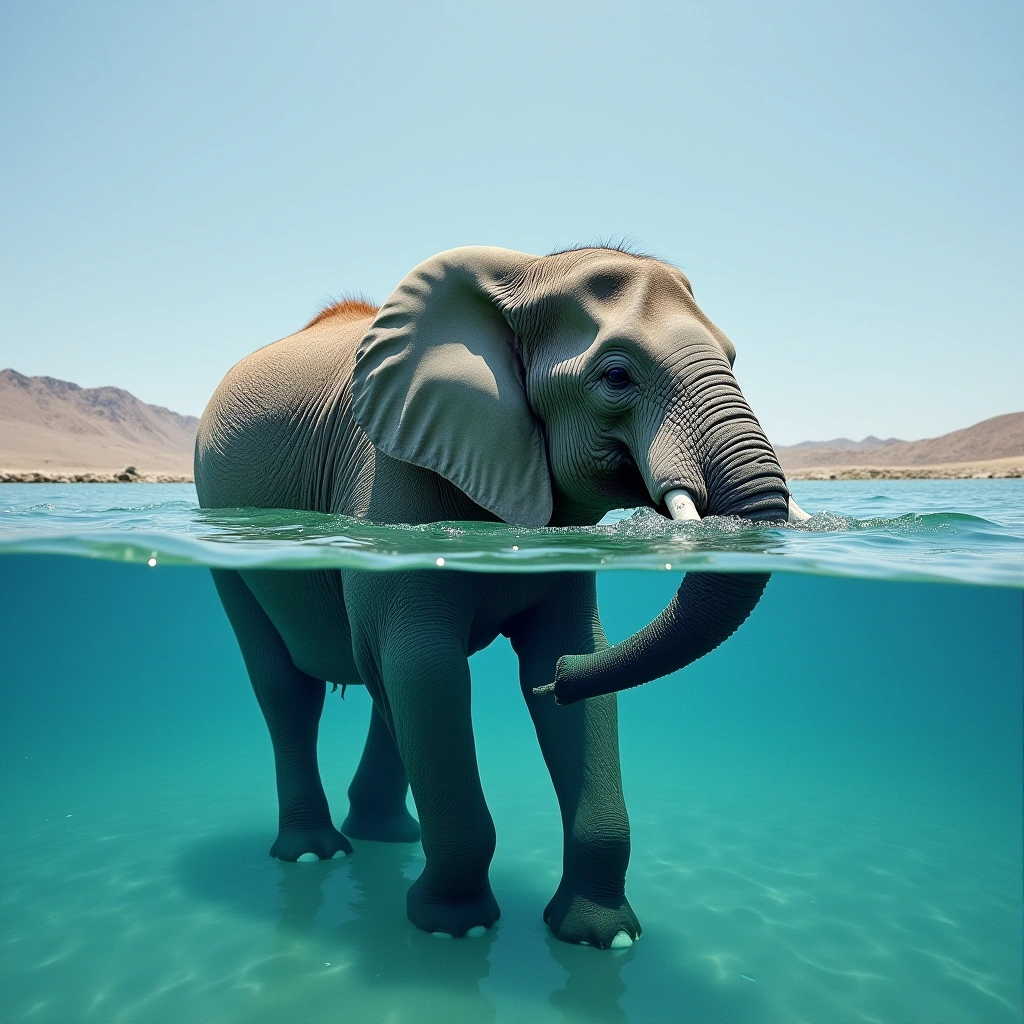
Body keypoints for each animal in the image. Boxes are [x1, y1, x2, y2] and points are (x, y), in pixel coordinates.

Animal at [195, 244, 804, 948]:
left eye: (733, 357)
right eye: (615, 376)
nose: (563, 680)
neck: (530, 270)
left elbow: (557, 653)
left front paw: (602, 937)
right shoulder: (393, 481)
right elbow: (426, 666)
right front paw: (453, 928)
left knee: (379, 686)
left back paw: (386, 836)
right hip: (223, 529)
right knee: (289, 688)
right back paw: (313, 853)